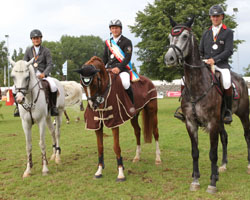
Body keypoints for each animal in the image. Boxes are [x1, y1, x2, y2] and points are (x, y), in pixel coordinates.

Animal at [164, 16, 250, 192]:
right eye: (170, 37)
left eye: (184, 36)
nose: (169, 58)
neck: (197, 86)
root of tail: (242, 80)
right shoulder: (191, 123)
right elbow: (195, 152)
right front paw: (196, 180)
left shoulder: (212, 123)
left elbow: (212, 153)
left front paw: (212, 183)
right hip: (221, 121)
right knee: (224, 137)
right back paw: (222, 166)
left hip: (243, 114)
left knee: (247, 135)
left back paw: (248, 166)